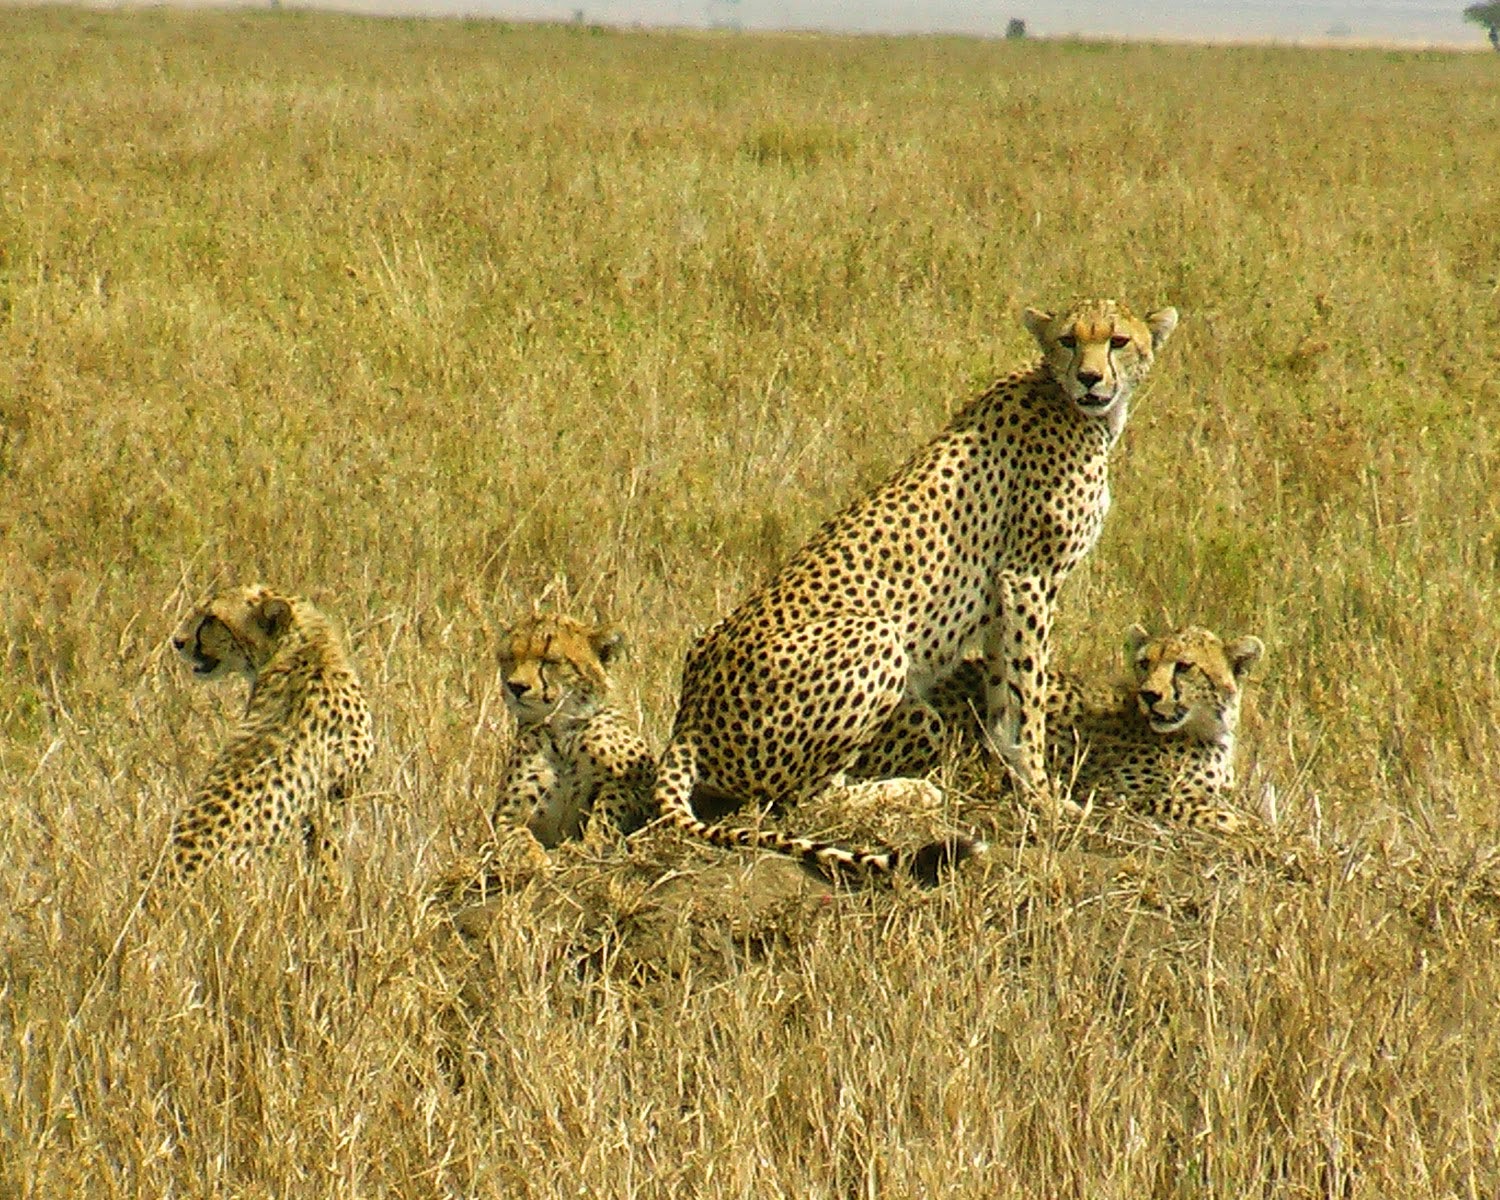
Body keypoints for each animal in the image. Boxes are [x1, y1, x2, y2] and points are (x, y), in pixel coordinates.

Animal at [651, 300, 1176, 882]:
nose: (1089, 378)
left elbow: (1006, 695)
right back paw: (911, 792)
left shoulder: (1006, 595)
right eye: (1068, 341)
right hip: (875, 638)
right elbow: (1028, 696)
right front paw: (1043, 796)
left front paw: (1012, 778)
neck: (1073, 406)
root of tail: (687, 719)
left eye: (1118, 341)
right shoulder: (1029, 577)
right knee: (800, 799)